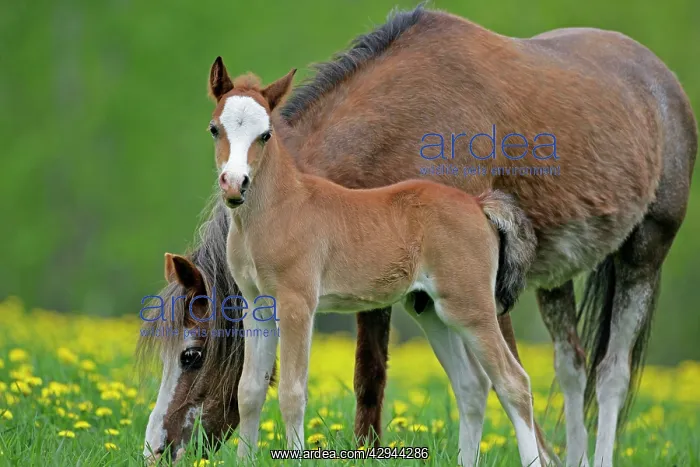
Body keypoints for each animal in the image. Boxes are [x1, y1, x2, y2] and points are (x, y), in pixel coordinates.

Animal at [138, 5, 697, 467]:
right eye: (214, 129)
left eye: (192, 354)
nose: (156, 450)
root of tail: (661, 80)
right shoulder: (365, 291)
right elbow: (359, 382)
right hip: (539, 280)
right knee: (567, 369)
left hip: (639, 254)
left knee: (600, 375)